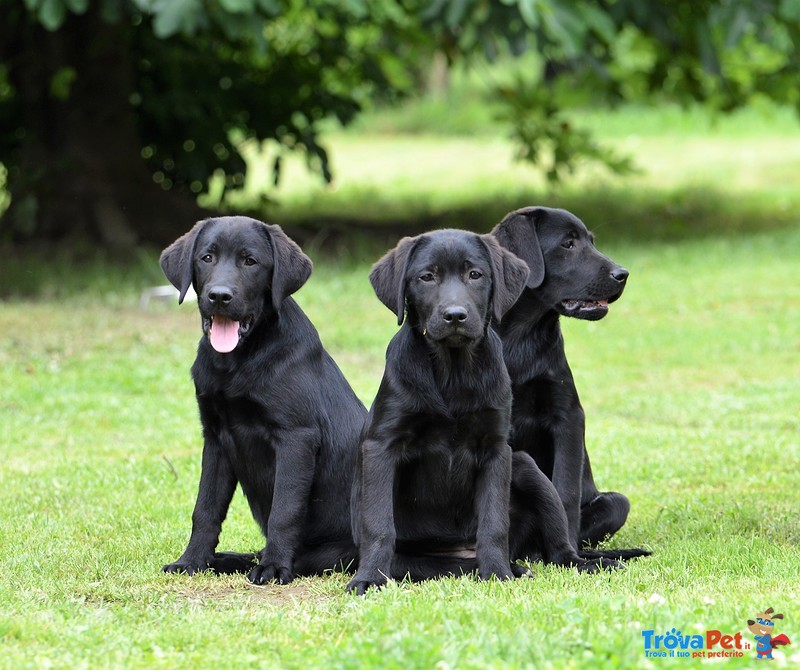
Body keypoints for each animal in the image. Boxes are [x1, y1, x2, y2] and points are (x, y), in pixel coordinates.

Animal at [159, 218, 368, 584]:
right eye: (207, 257)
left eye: (250, 261)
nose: (219, 296)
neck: (237, 362)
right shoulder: (215, 437)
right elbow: (205, 509)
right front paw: (191, 560)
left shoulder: (296, 437)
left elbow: (284, 511)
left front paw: (273, 567)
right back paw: (222, 559)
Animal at [346, 231, 616, 600]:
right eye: (426, 277)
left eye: (475, 275)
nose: (455, 316)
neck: (453, 370)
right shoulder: (382, 446)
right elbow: (379, 524)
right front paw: (370, 577)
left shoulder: (495, 449)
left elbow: (493, 522)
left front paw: (498, 573)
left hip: (526, 467)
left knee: (559, 546)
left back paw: (568, 563)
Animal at [494, 206, 636, 552]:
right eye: (568, 244)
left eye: (592, 241)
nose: (623, 274)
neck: (520, 337)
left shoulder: (568, 415)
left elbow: (565, 491)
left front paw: (566, 548)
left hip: (616, 503)